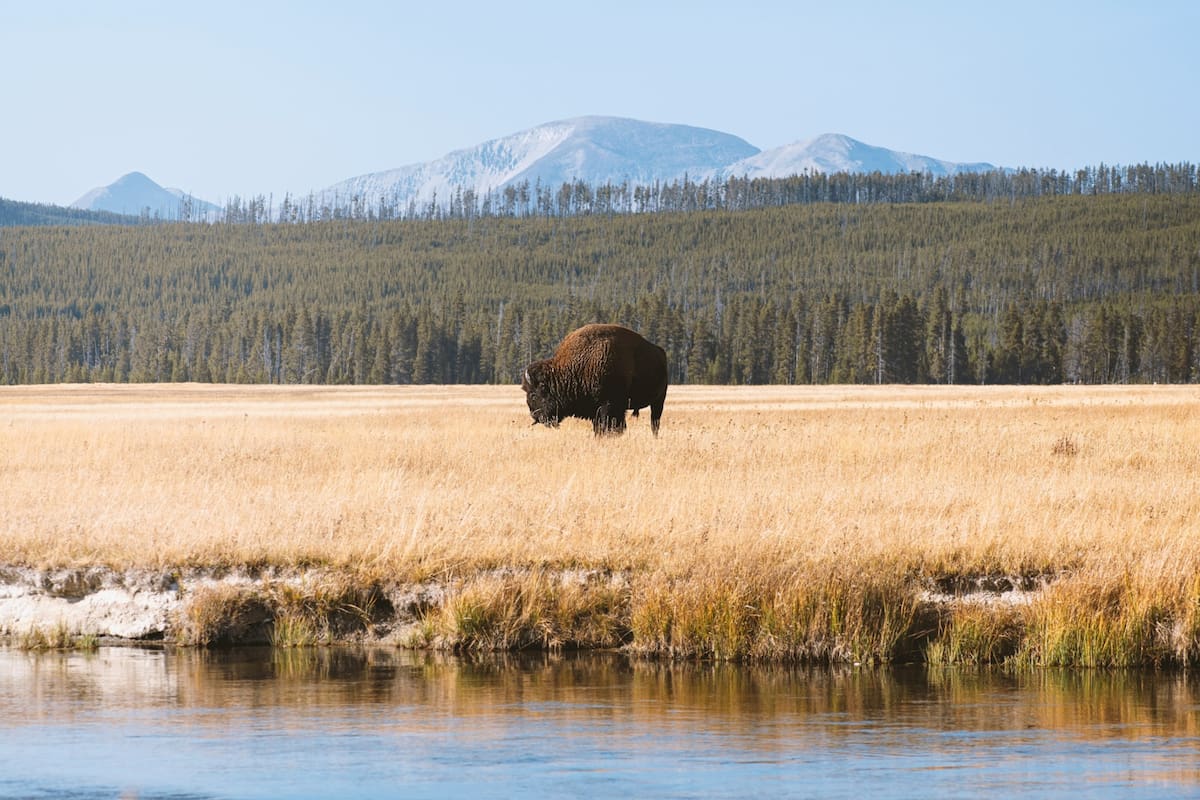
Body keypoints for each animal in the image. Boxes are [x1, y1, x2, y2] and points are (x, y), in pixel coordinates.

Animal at [521, 323, 668, 436]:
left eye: (533, 395)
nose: (534, 415)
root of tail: (660, 352)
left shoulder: (609, 406)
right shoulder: (597, 410)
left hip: (659, 401)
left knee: (655, 422)